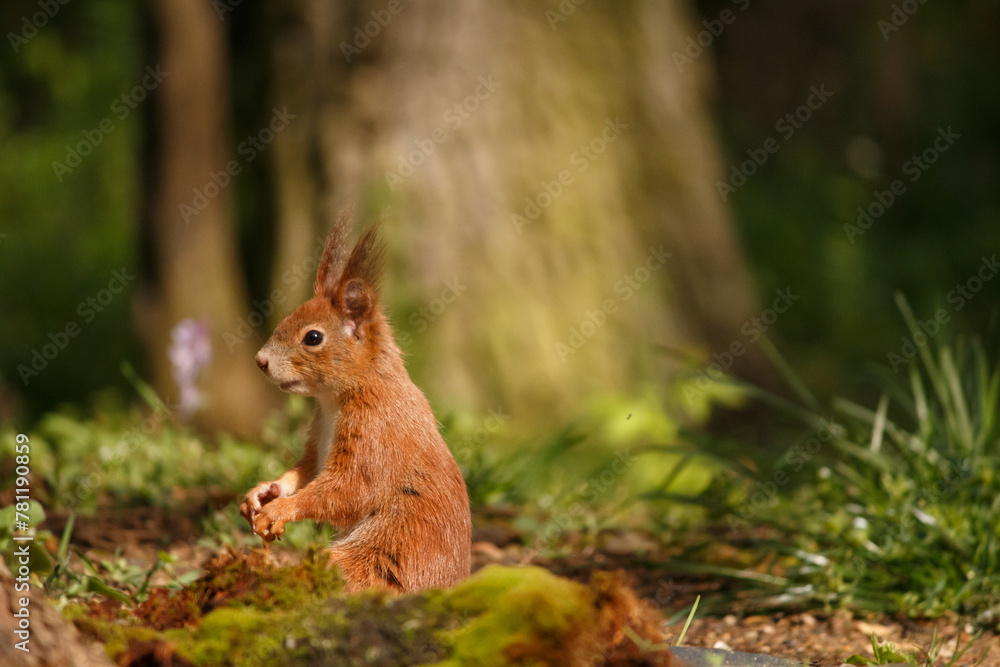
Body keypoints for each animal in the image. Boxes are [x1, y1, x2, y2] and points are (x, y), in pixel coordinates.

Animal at [239, 215, 472, 593]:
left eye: (313, 337)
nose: (260, 361)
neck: (336, 398)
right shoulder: (318, 436)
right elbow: (307, 471)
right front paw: (263, 492)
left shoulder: (374, 434)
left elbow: (348, 489)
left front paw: (281, 510)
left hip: (375, 561)